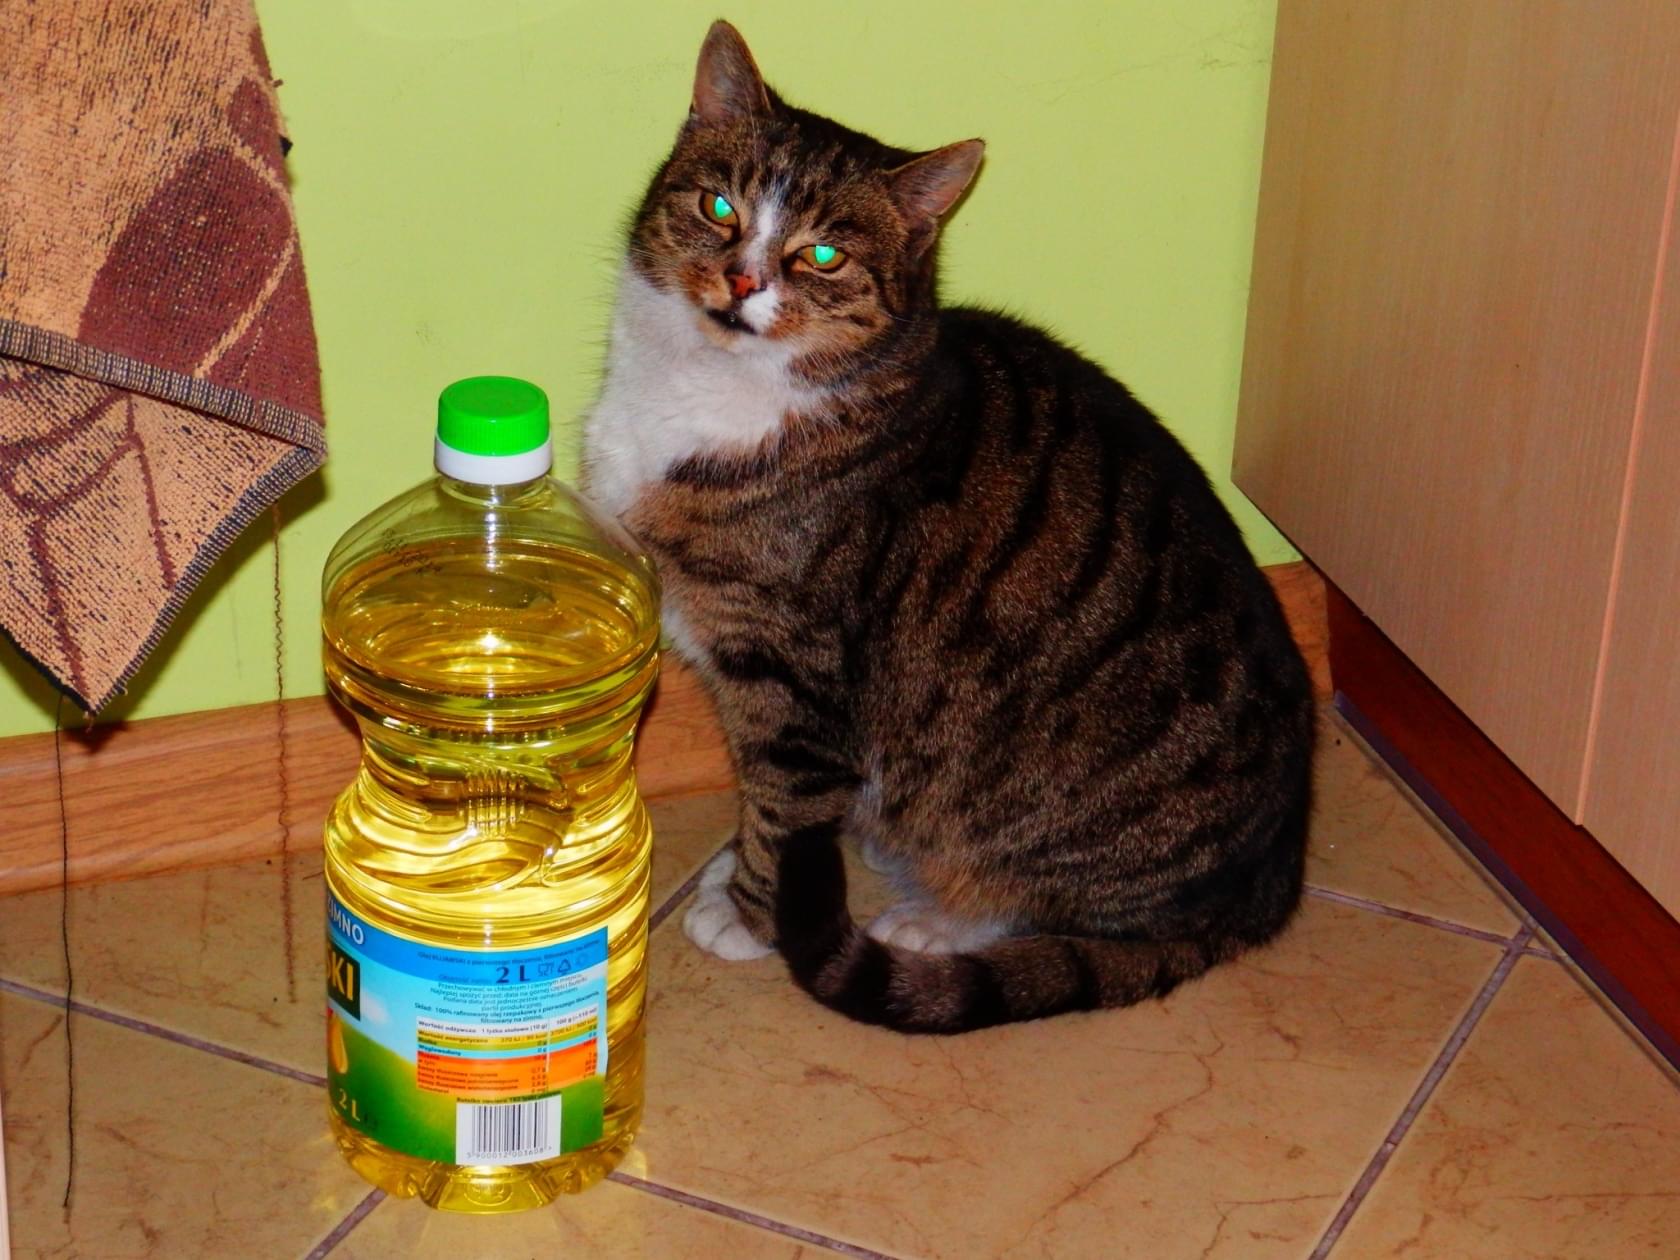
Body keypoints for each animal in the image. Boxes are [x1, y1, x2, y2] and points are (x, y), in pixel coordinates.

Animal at [583, 20, 1314, 1034]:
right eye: (718, 204)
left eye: (823, 256)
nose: (740, 277)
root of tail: (1270, 883)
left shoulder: (793, 673)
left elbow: (781, 806)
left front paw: (748, 912)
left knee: (1042, 907)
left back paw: (931, 923)